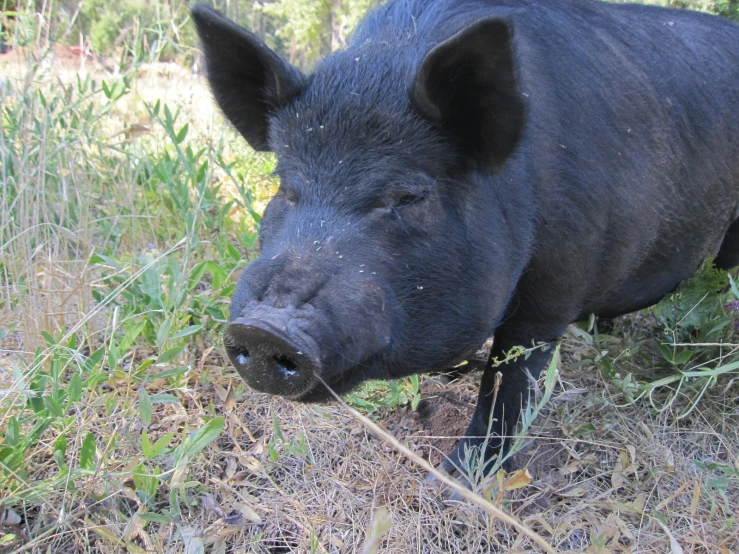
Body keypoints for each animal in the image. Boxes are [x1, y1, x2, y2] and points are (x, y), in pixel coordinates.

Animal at [191, 0, 739, 472]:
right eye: (284, 186)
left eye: (409, 195)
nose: (263, 329)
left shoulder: (553, 291)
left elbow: (509, 384)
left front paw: (457, 481)